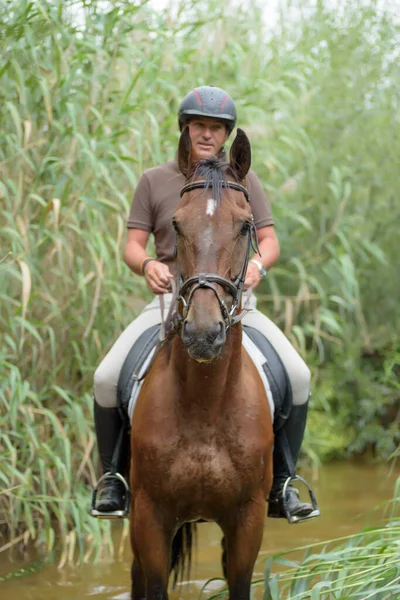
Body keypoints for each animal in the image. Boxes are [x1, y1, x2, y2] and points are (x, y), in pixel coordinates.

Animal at [130, 126, 274, 600]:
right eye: (176, 224)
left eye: (246, 225)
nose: (203, 334)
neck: (205, 405)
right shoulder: (150, 518)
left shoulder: (248, 521)